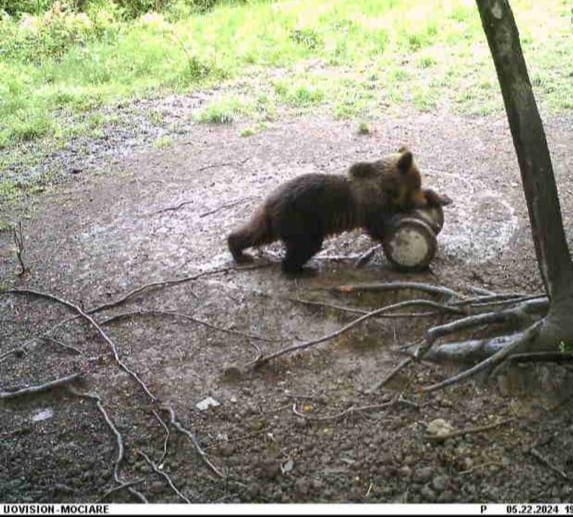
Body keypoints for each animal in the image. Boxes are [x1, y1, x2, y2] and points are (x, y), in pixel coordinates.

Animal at [226, 147, 450, 272]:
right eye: (416, 182)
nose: (420, 194)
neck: (385, 186)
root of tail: (269, 200)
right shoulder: (372, 205)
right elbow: (383, 224)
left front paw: (440, 197)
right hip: (301, 218)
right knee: (306, 246)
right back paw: (299, 269)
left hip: (275, 220)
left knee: (255, 232)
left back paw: (238, 251)